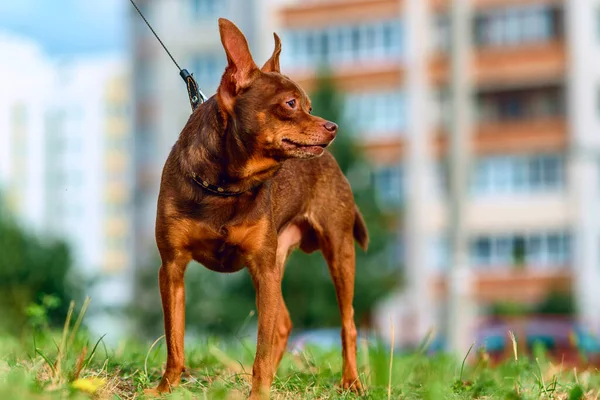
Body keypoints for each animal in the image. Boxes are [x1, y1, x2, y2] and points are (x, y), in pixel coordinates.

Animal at [152, 18, 368, 396]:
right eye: (292, 104)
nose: (333, 127)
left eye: (310, 106)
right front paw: (166, 389)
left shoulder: (262, 271)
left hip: (338, 251)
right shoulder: (172, 269)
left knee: (347, 323)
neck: (225, 188)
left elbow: (261, 351)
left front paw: (260, 393)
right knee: (283, 324)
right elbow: (175, 341)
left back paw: (351, 382)